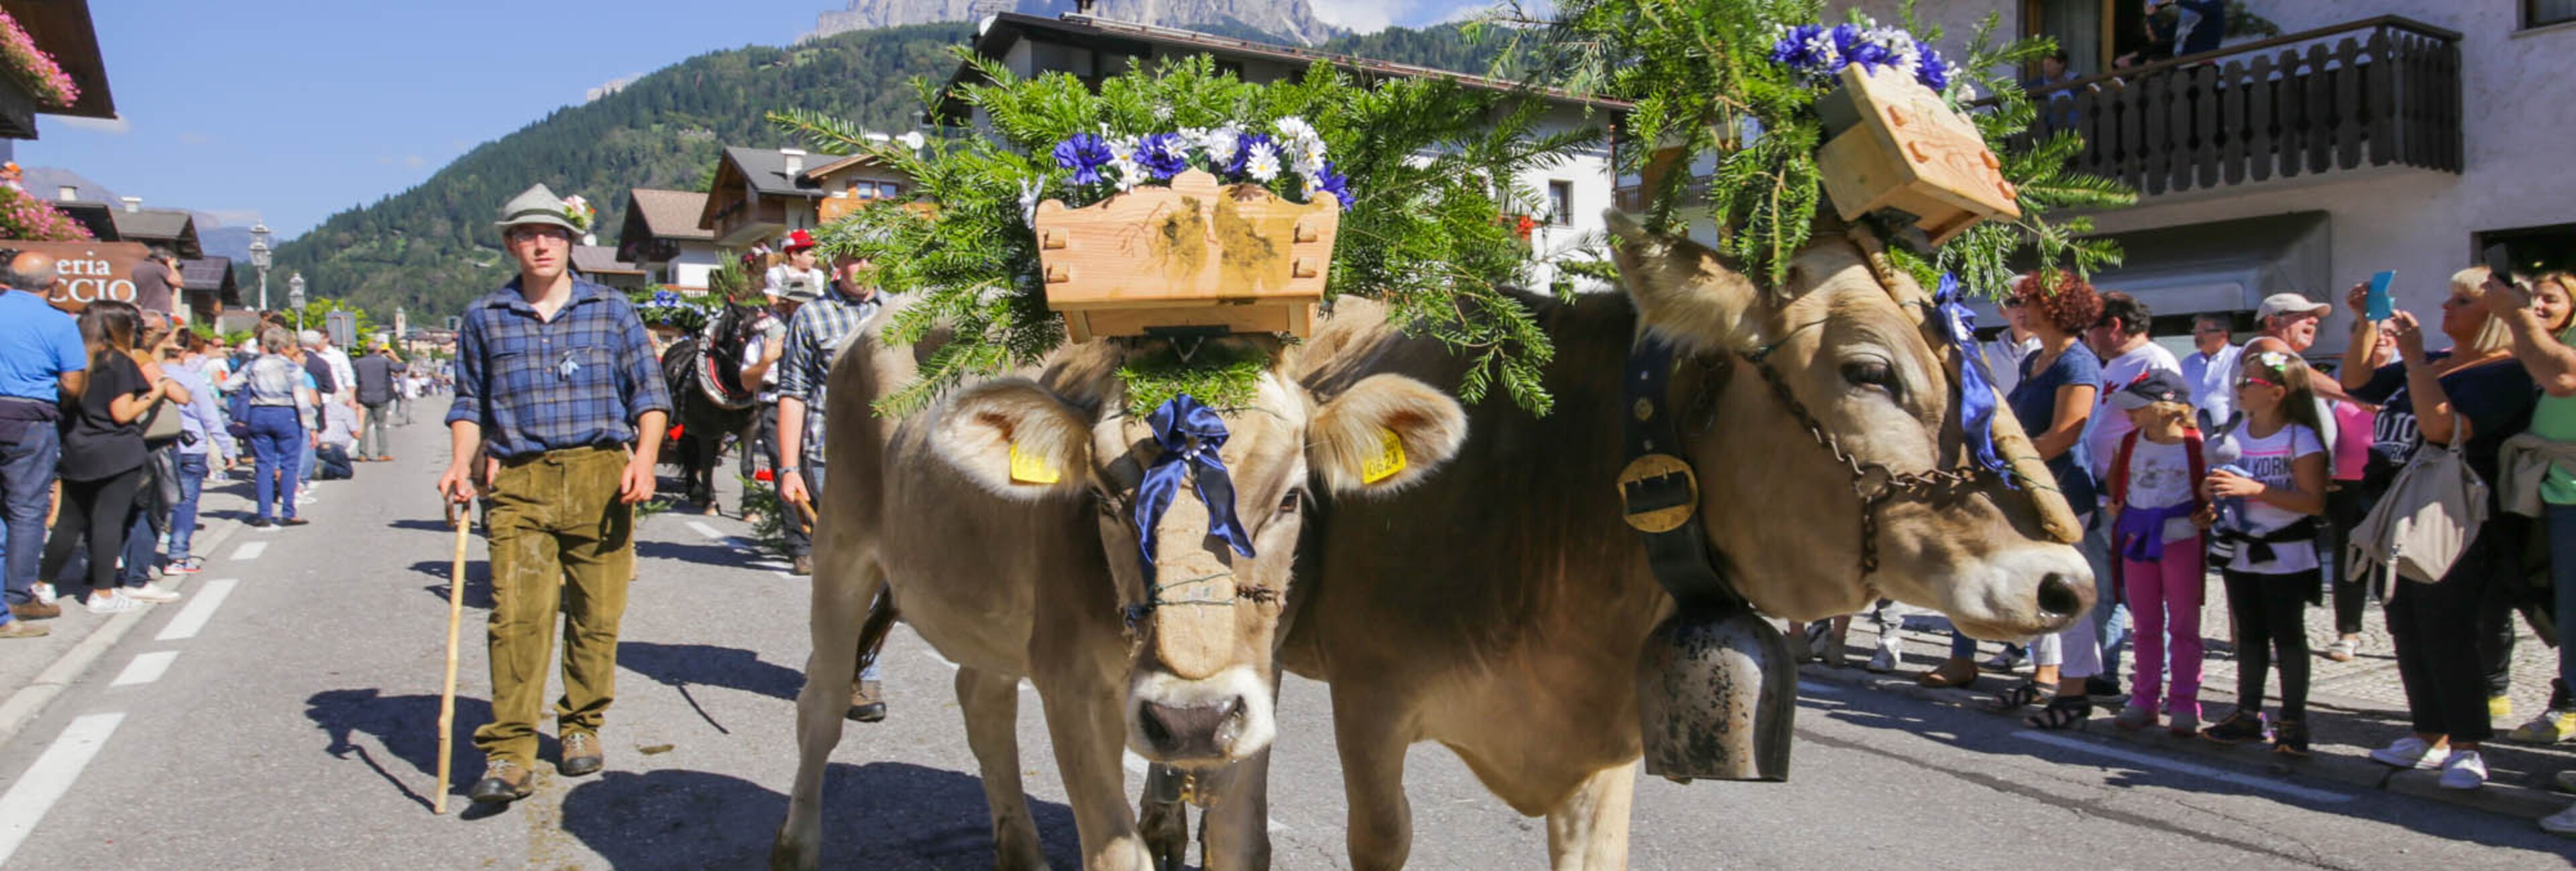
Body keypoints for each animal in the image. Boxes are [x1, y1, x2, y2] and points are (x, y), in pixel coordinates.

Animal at [654, 304, 762, 510]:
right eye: (744, 336)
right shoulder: (706, 429)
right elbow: (707, 463)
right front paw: (710, 502)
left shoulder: (750, 427)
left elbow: (747, 465)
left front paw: (749, 509)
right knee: (692, 453)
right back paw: (697, 492)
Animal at [762, 297, 1473, 871]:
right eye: (1104, 498)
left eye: (1292, 498)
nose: (1190, 719)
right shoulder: (1070, 681)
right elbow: (1115, 852)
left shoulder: (1254, 687)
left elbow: (1241, 843)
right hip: (841, 537)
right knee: (820, 701)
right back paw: (794, 848)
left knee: (983, 703)